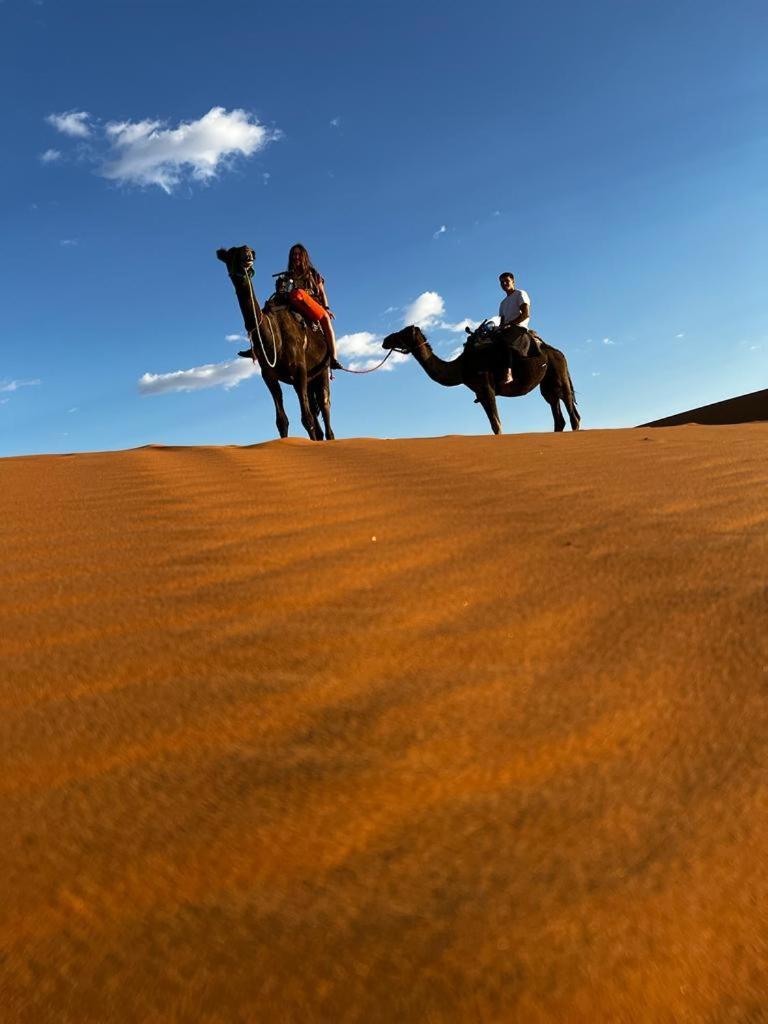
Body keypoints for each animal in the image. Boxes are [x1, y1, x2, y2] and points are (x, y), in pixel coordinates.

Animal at [217, 248, 335, 444]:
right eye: (232, 253)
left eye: (247, 250)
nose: (248, 255)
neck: (274, 340)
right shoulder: (269, 376)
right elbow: (282, 421)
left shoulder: (299, 371)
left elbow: (307, 418)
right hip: (310, 378)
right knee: (315, 412)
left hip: (322, 370)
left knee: (324, 405)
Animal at [382, 325, 581, 434]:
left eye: (403, 333)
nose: (385, 340)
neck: (461, 366)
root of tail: (559, 353)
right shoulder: (480, 393)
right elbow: (494, 424)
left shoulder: (486, 387)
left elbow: (497, 425)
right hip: (547, 385)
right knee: (557, 412)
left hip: (559, 375)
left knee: (573, 415)